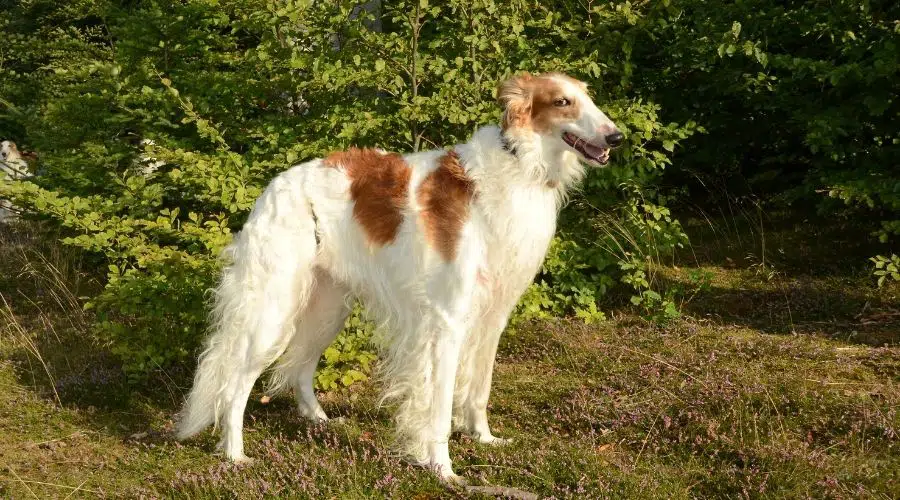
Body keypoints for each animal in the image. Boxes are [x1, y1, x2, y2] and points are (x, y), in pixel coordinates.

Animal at [178, 72, 624, 482]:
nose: (616, 137)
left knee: (302, 367)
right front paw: (444, 470)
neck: (519, 166)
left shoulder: (493, 317)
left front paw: (484, 439)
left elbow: (479, 392)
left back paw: (320, 421)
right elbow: (440, 409)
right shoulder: (448, 320)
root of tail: (275, 185)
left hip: (328, 308)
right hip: (274, 310)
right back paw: (235, 454)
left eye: (589, 97)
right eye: (563, 101)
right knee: (234, 385)